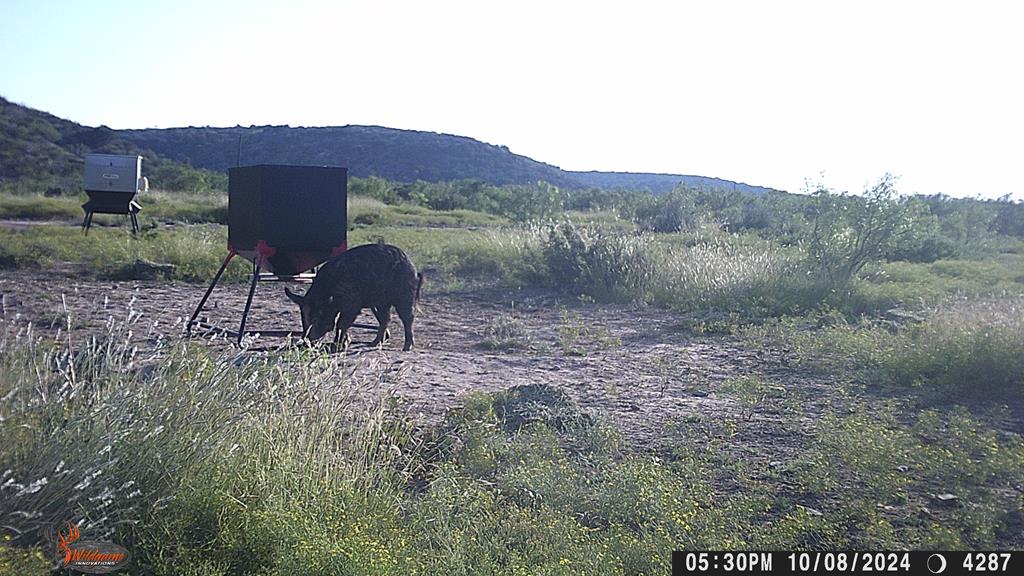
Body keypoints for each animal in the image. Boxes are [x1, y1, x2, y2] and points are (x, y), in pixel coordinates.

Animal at [284, 242, 419, 350]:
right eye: (303, 318)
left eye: (318, 315)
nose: (307, 339)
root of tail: (409, 262)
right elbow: (340, 324)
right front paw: (340, 344)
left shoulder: (351, 304)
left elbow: (341, 324)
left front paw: (337, 346)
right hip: (381, 302)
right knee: (385, 319)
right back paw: (373, 344)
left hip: (404, 295)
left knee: (407, 318)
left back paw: (407, 347)